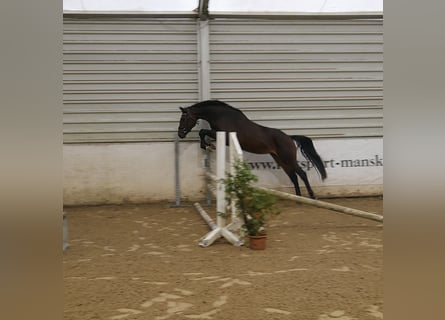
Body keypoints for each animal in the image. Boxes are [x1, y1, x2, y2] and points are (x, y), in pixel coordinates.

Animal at [176, 99, 326, 199]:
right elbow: (203, 133)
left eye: (183, 118)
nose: (180, 134)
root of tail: (289, 137)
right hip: (280, 160)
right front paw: (209, 145)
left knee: (302, 174)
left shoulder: (224, 136)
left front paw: (206, 145)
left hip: (288, 159)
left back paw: (311, 196)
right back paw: (298, 198)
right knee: (293, 176)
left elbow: (202, 131)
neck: (221, 116)